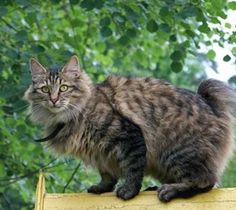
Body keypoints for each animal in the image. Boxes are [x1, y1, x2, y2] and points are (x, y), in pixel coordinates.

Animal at [24, 55, 236, 202]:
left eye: (64, 88)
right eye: (45, 89)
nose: (54, 99)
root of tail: (210, 103)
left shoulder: (128, 135)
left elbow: (132, 169)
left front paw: (128, 191)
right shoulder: (100, 152)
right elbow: (107, 174)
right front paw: (102, 188)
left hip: (176, 152)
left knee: (206, 181)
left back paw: (170, 190)